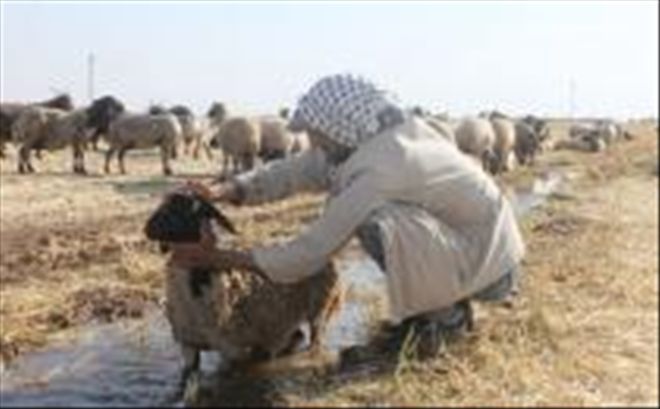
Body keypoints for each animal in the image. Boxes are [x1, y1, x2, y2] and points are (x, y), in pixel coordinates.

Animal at [142, 190, 342, 382]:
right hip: (282, 316)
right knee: (294, 336)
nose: (149, 229)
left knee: (313, 342)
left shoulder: (230, 349)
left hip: (319, 308)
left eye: (189, 208)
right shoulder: (189, 345)